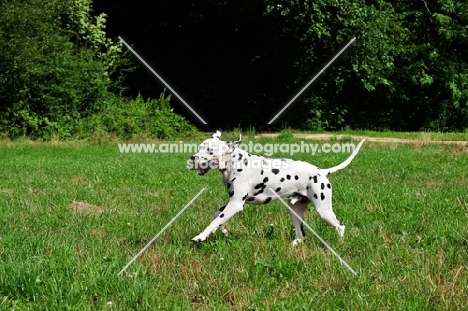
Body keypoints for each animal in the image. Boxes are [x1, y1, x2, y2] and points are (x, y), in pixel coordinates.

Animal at [187, 130, 366, 246]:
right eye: (200, 147)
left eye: (210, 151)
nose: (192, 158)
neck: (237, 163)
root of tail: (321, 172)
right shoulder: (230, 202)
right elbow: (217, 216)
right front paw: (223, 231)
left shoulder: (235, 204)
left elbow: (214, 221)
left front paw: (201, 236)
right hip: (294, 211)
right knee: (301, 235)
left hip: (324, 211)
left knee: (340, 226)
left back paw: (340, 243)